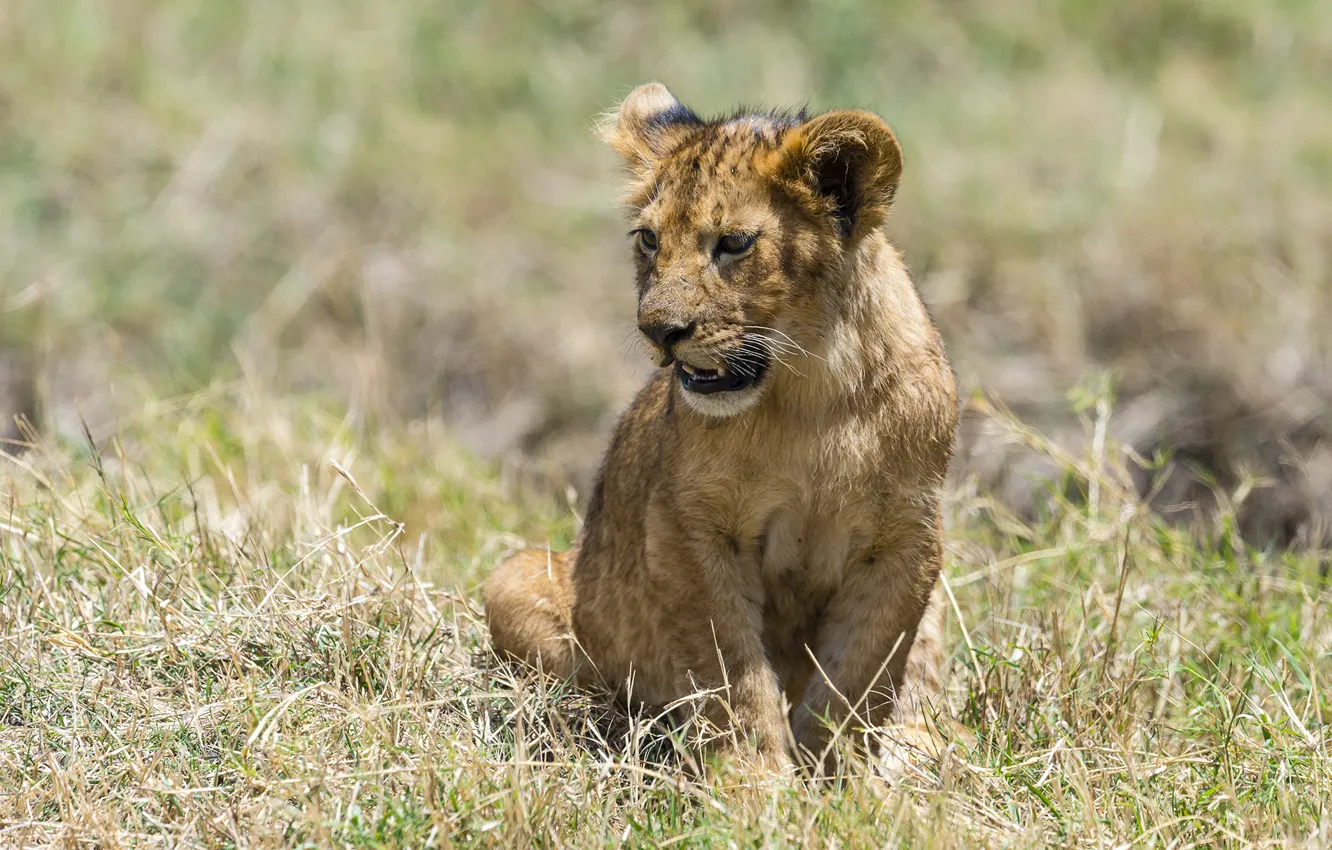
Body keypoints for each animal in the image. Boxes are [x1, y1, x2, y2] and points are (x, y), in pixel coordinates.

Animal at [484, 82, 959, 770]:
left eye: (733, 244)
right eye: (649, 239)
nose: (658, 330)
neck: (807, 394)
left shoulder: (905, 540)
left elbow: (859, 673)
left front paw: (839, 777)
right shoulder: (689, 530)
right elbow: (735, 677)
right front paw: (759, 783)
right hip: (517, 579)